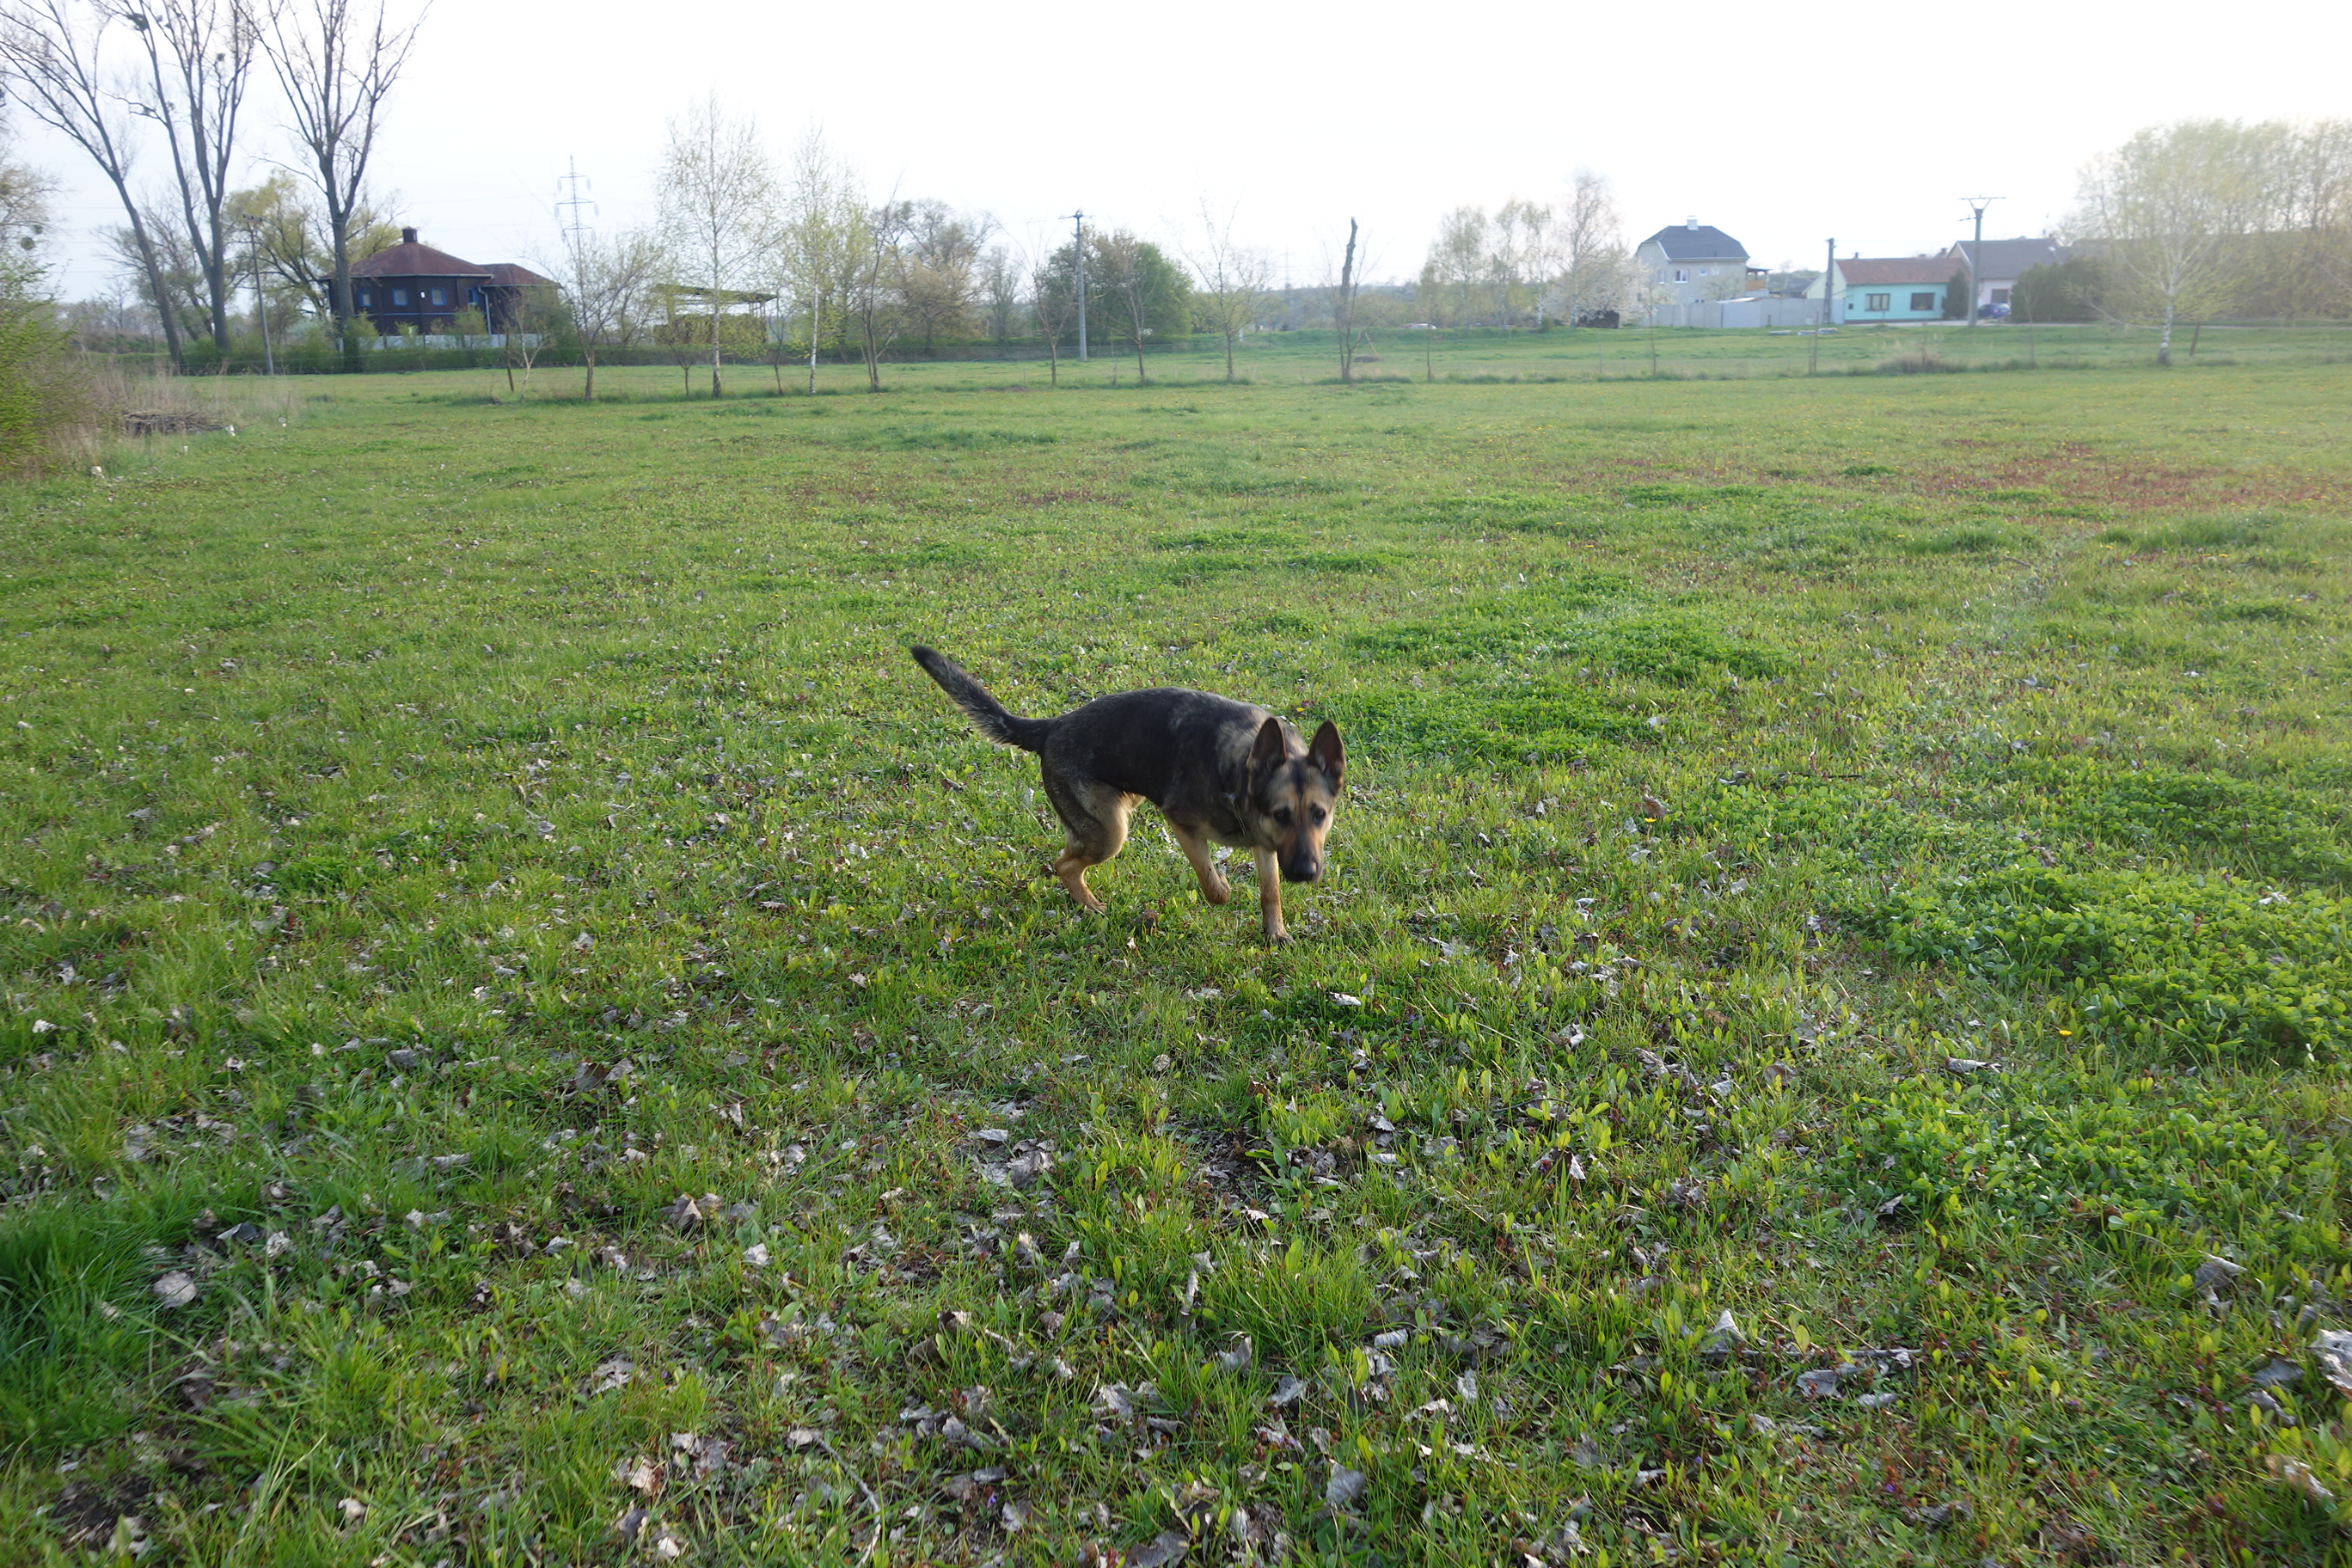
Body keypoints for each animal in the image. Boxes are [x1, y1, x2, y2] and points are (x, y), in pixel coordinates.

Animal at [912, 646, 1343, 942]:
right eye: (1281, 814)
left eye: (1319, 815)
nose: (1305, 873)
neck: (1239, 773)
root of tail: (1051, 727)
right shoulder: (1183, 824)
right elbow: (1211, 884)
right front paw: (1222, 887)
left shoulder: (1265, 845)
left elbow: (1271, 891)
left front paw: (1275, 932)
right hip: (1110, 832)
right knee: (1063, 864)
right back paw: (1090, 906)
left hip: (1113, 816)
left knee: (1066, 855)